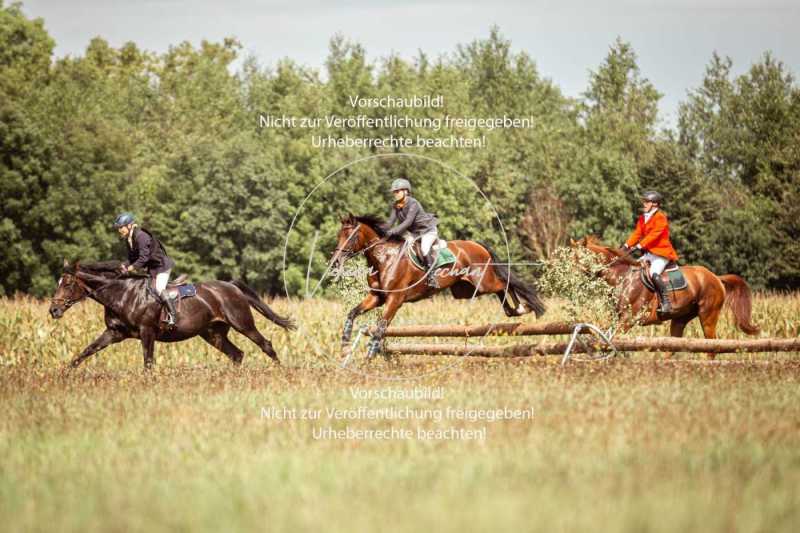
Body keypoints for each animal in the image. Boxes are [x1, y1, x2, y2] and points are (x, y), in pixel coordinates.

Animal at [49, 260, 294, 368]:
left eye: (68, 283)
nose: (53, 310)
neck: (122, 293)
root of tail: (230, 286)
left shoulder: (147, 331)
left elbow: (148, 361)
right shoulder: (114, 333)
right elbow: (86, 351)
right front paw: (66, 373)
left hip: (242, 323)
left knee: (265, 345)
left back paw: (280, 371)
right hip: (212, 333)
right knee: (236, 354)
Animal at [328, 213, 548, 358]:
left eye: (351, 236)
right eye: (339, 235)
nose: (335, 262)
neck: (385, 258)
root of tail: (477, 245)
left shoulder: (395, 299)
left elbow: (382, 325)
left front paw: (371, 352)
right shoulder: (377, 297)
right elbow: (353, 312)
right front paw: (345, 341)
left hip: (484, 282)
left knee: (505, 283)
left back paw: (522, 307)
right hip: (466, 290)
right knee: (502, 291)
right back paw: (515, 310)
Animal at [572, 236, 760, 358]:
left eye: (577, 257)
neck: (622, 276)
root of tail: (716, 278)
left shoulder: (628, 320)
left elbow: (611, 338)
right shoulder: (616, 318)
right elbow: (601, 332)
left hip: (708, 316)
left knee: (711, 346)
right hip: (680, 319)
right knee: (672, 345)